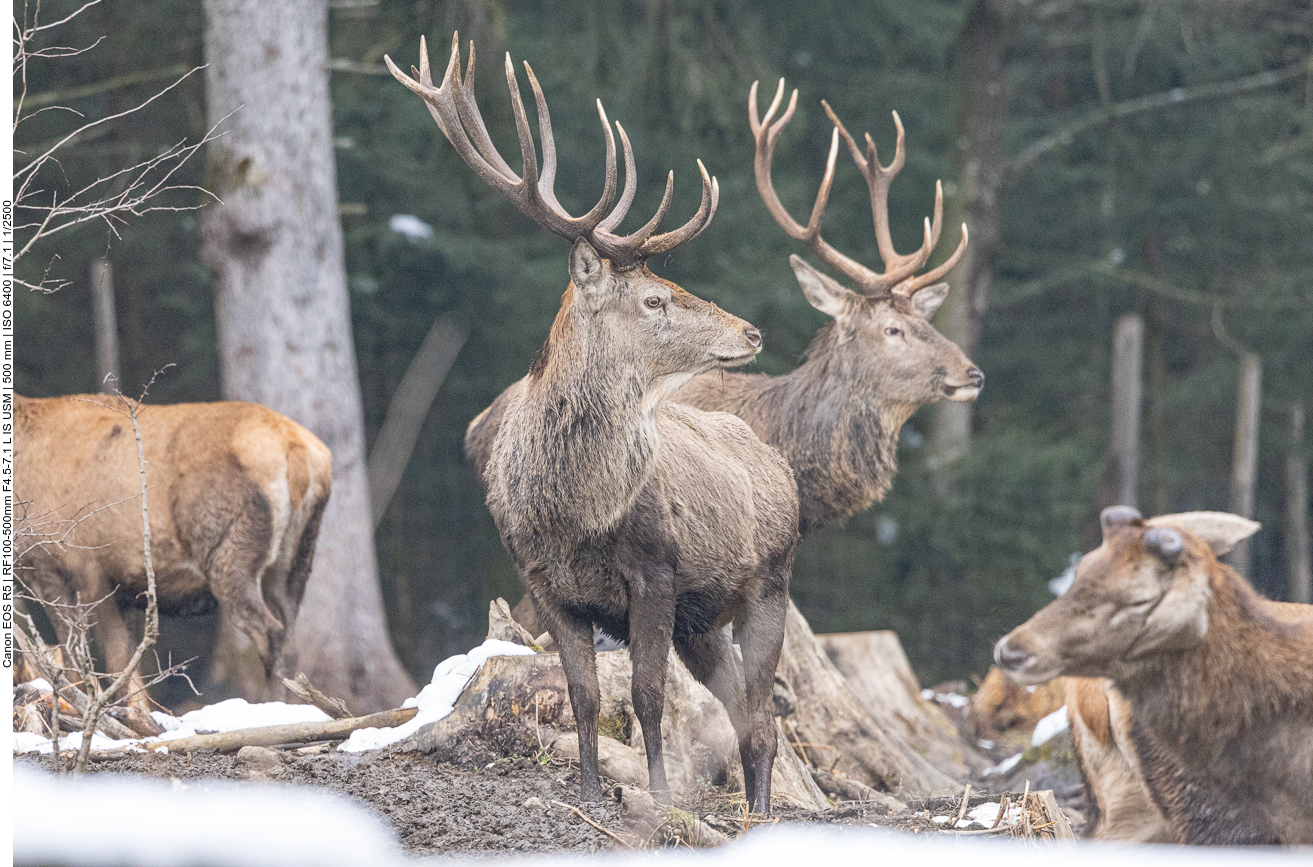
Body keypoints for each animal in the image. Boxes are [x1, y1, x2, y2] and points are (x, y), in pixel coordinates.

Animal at [16, 394, 333, 704]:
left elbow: (84, 663)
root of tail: (301, 454)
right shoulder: (120, 586)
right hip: (295, 563)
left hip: (229, 549)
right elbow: (124, 664)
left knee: (271, 633)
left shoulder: (62, 568)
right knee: (290, 639)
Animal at [386, 33, 798, 809]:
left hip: (771, 581)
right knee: (742, 709)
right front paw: (584, 791)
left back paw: (759, 811)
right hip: (704, 619)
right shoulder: (548, 586)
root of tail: (780, 466)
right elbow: (582, 695)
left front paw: (658, 800)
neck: (574, 513)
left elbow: (645, 697)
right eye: (654, 299)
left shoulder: (657, 572)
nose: (752, 331)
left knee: (763, 715)